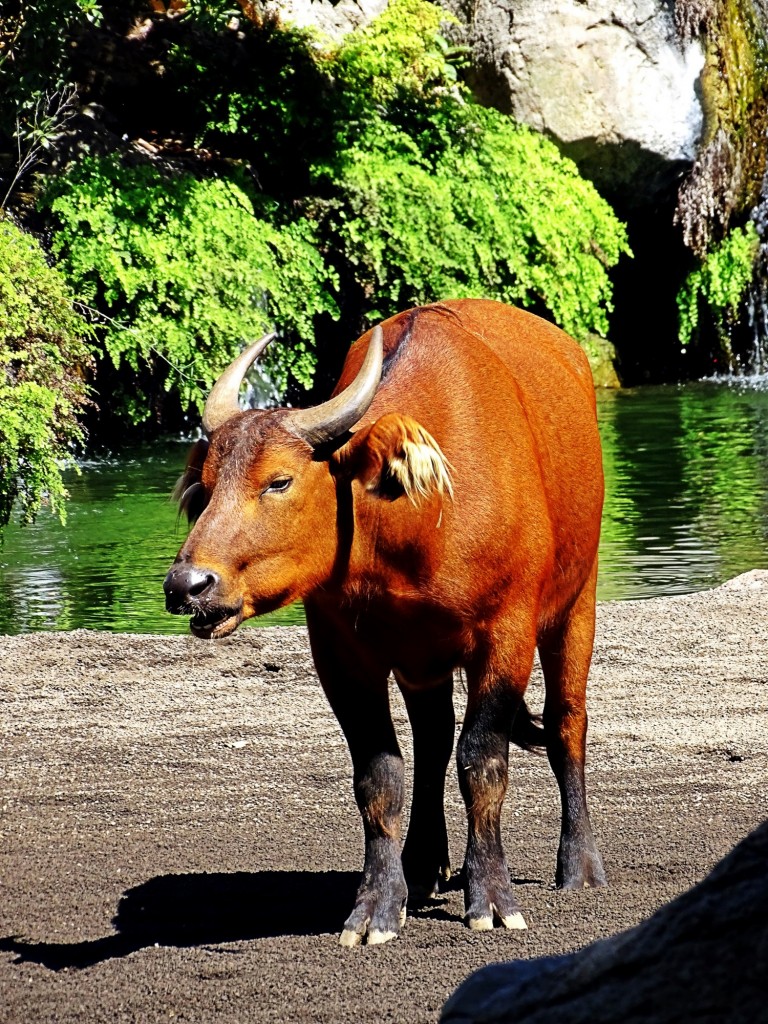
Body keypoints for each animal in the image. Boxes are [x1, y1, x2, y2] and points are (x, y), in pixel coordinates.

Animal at [166, 299, 606, 946]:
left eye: (279, 480)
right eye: (206, 484)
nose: (187, 586)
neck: (414, 519)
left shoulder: (506, 633)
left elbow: (484, 762)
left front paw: (491, 897)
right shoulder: (343, 653)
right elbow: (380, 777)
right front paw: (376, 905)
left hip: (577, 602)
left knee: (565, 722)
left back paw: (579, 864)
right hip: (424, 659)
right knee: (434, 739)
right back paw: (422, 866)